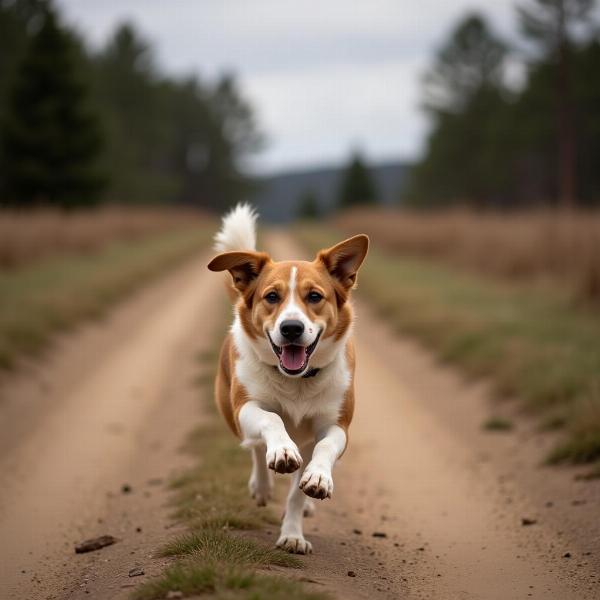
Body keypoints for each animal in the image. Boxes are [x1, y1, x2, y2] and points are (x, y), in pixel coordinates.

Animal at [209, 204, 368, 556]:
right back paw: (262, 485)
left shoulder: (337, 425)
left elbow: (318, 457)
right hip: (230, 410)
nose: (291, 328)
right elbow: (271, 421)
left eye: (314, 296)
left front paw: (296, 528)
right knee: (253, 445)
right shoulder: (246, 407)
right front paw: (281, 453)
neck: (297, 382)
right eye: (271, 296)